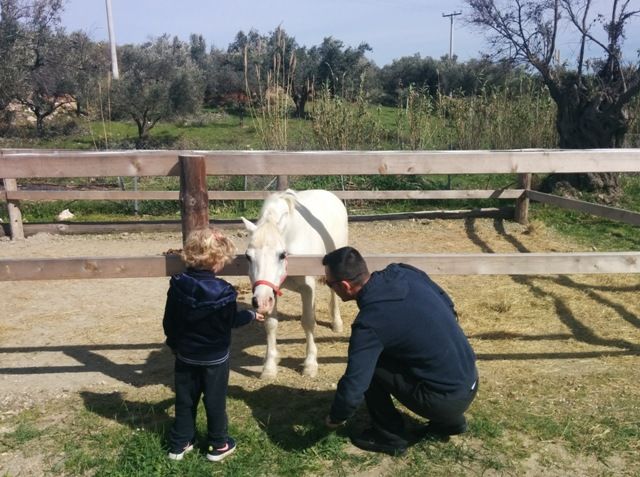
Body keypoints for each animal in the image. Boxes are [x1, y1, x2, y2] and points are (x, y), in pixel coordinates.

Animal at [241, 188, 350, 378]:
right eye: (248, 256)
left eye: (282, 255)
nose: (260, 301)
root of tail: (330, 194)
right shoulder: (272, 290)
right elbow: (271, 324)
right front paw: (269, 367)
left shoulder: (307, 288)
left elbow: (308, 322)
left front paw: (310, 365)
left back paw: (336, 323)